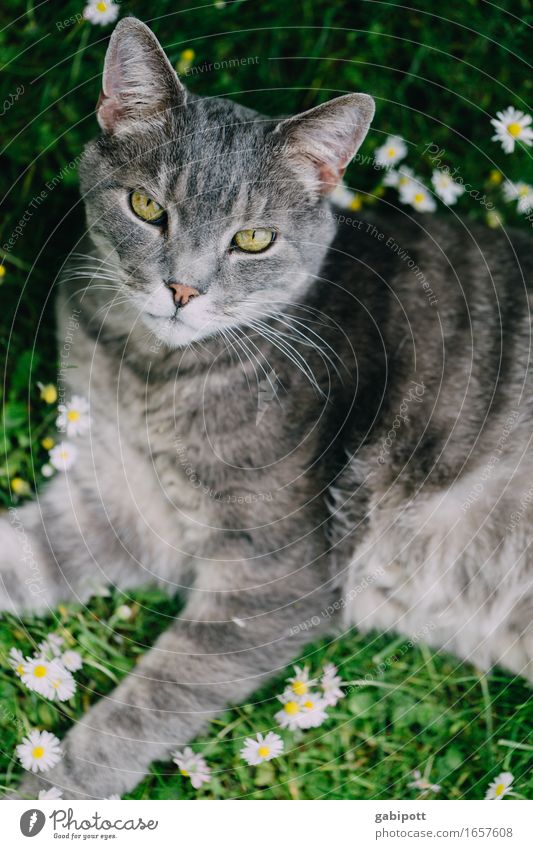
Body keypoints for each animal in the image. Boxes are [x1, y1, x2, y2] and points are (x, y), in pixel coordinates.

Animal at [1, 16, 532, 800]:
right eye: (147, 208)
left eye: (253, 240)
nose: (182, 290)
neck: (148, 375)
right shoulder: (115, 502)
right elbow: (23, 554)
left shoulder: (272, 577)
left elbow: (140, 710)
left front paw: (46, 792)